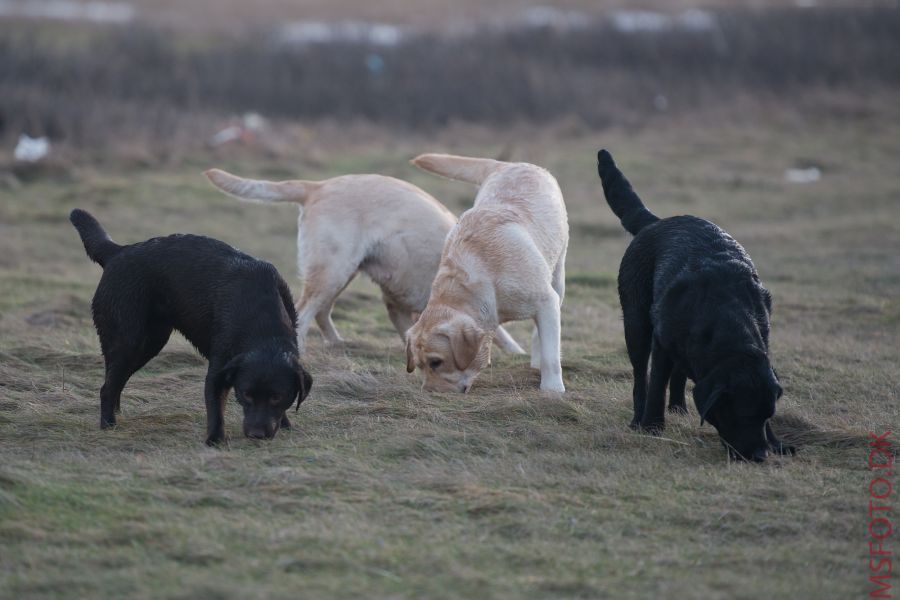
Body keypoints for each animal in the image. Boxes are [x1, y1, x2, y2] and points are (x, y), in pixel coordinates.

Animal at [69, 209, 312, 442]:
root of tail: (118, 252)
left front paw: (285, 424)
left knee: (115, 380)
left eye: (277, 397)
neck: (261, 321)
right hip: (128, 341)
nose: (257, 435)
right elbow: (216, 409)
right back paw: (108, 424)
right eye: (246, 394)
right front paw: (215, 439)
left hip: (150, 342)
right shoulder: (218, 371)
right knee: (107, 387)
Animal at [204, 168, 524, 356]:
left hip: (342, 274)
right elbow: (502, 336)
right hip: (332, 271)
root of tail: (317, 186)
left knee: (322, 312)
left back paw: (336, 343)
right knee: (305, 314)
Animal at [408, 154, 568, 394]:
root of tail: (509, 165)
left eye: (436, 362)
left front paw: (552, 389)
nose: (429, 392)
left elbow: (550, 353)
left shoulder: (545, 300)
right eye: (418, 365)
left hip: (557, 276)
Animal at [596, 151, 796, 464]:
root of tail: (656, 222)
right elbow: (656, 385)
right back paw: (638, 418)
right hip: (635, 323)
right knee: (641, 375)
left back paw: (678, 408)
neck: (724, 318)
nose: (760, 456)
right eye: (741, 415)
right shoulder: (661, 344)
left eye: (766, 416)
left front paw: (777, 443)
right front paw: (652, 426)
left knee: (678, 373)